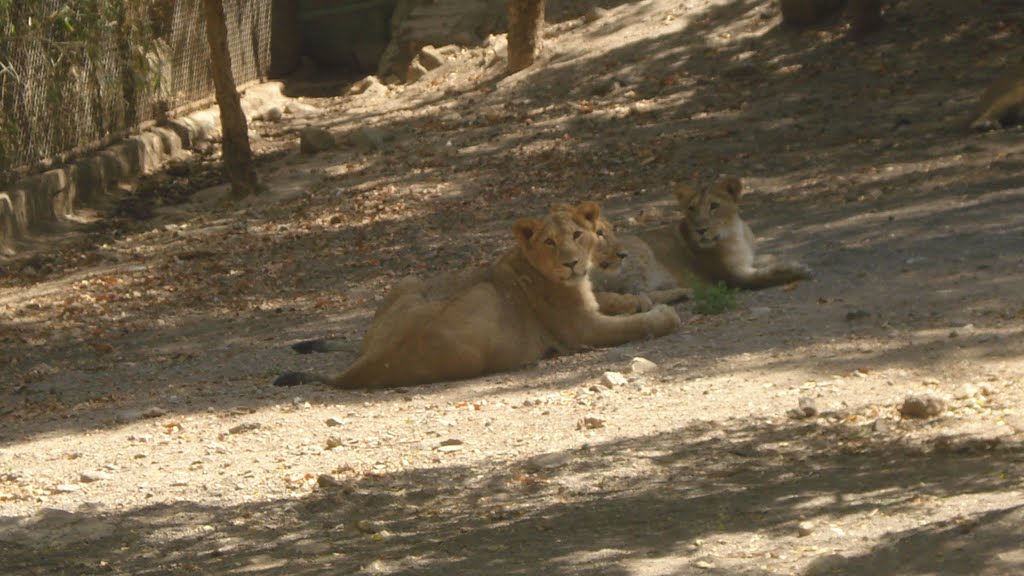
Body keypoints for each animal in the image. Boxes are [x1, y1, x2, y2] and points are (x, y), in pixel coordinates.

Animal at [276, 202, 684, 389]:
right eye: (550, 242)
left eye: (578, 235)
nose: (571, 263)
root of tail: (365, 365)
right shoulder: (583, 330)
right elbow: (631, 325)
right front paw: (662, 314)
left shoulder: (590, 301)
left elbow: (617, 301)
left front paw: (656, 297)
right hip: (483, 298)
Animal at [589, 175, 811, 295]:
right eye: (691, 208)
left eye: (714, 206)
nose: (701, 230)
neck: (734, 234)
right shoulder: (731, 277)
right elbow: (762, 276)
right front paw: (796, 269)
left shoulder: (748, 258)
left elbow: (768, 257)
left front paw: (784, 259)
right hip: (639, 248)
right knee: (639, 294)